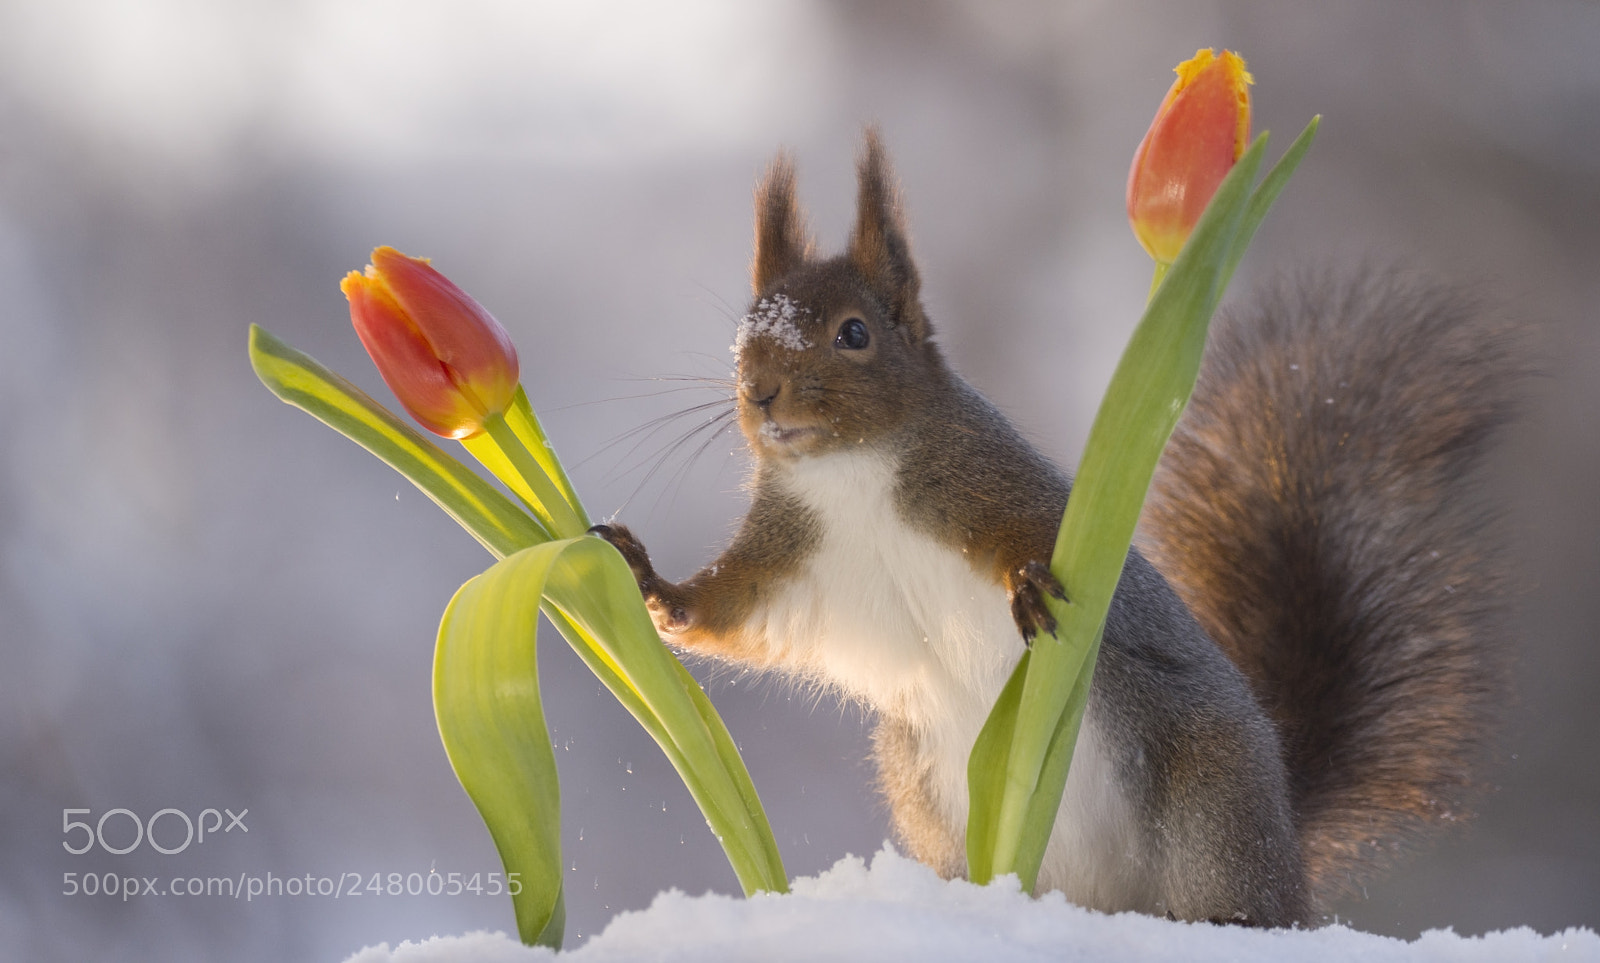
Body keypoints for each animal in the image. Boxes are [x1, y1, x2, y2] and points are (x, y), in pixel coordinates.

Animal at [592, 130, 1519, 927]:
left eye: (853, 334)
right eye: (742, 337)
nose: (759, 393)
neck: (850, 472)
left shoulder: (993, 487)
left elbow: (1033, 535)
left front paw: (1029, 582)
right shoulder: (795, 556)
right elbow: (735, 609)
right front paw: (650, 586)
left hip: (1210, 792)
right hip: (923, 786)